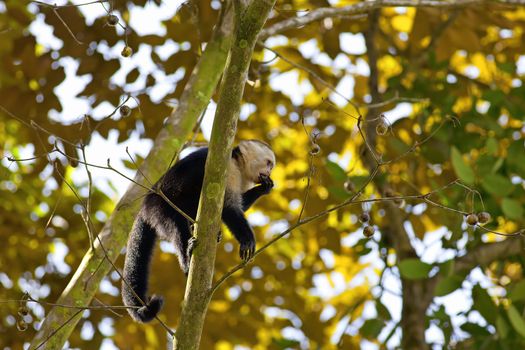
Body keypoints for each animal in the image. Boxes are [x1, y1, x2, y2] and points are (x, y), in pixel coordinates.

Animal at [122, 139, 274, 322]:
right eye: (268, 163)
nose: (269, 172)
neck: (238, 164)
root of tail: (144, 206)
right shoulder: (228, 169)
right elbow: (228, 207)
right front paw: (247, 240)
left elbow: (238, 205)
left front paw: (264, 188)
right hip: (158, 207)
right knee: (176, 227)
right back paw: (187, 260)